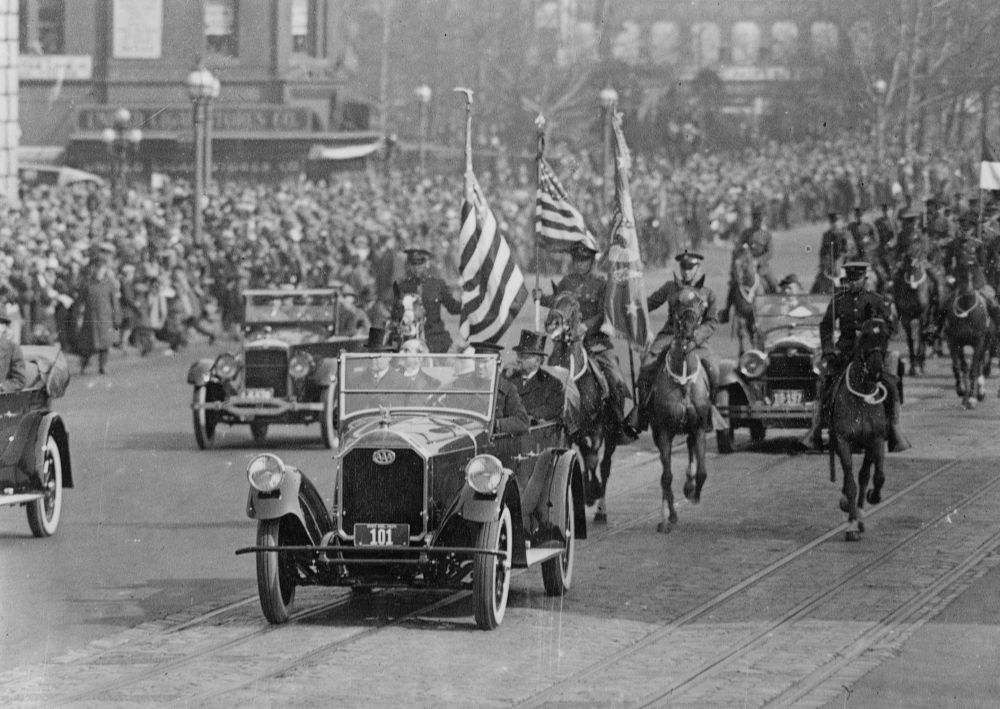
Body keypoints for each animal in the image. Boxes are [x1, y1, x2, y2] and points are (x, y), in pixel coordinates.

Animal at [544, 290, 620, 524]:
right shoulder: (568, 431)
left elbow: (592, 459)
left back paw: (600, 508)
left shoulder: (596, 429)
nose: (551, 323)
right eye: (554, 302)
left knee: (604, 465)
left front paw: (591, 491)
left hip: (611, 434)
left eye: (574, 307)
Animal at [648, 284, 712, 532]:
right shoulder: (664, 432)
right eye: (674, 301)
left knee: (692, 453)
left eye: (701, 302)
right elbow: (666, 477)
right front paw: (669, 518)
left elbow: (702, 471)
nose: (687, 330)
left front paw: (693, 493)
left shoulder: (700, 427)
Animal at [828, 320, 892, 544]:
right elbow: (850, 483)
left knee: (865, 475)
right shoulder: (843, 441)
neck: (862, 397)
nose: (876, 370)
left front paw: (874, 496)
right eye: (864, 336)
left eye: (885, 336)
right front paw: (851, 525)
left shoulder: (876, 440)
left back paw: (861, 513)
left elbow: (878, 476)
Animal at [896, 246, 932, 376]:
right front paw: (912, 367)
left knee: (924, 336)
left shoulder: (922, 317)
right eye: (907, 258)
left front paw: (918, 367)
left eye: (920, 255)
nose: (913, 265)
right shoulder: (906, 318)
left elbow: (920, 337)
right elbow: (910, 339)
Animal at [944, 258, 992, 406]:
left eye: (974, 274)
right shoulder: (955, 341)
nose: (968, 292)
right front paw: (962, 391)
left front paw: (971, 398)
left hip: (986, 342)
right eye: (960, 274)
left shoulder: (978, 342)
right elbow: (959, 366)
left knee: (980, 364)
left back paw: (980, 392)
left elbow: (973, 369)